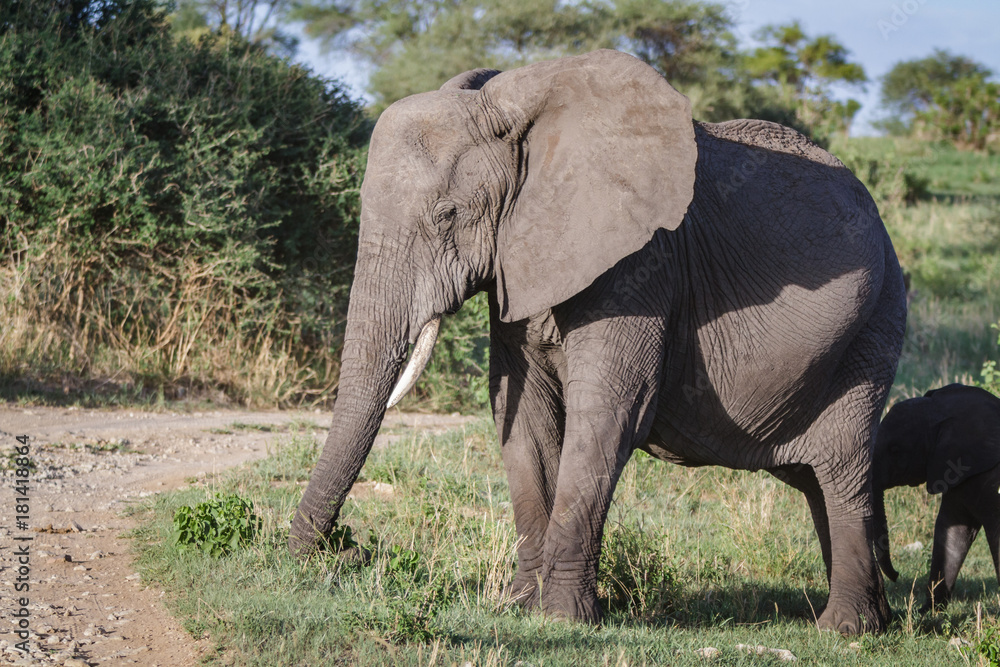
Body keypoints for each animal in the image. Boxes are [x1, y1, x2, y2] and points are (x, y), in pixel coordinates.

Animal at [288, 49, 907, 635]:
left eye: (448, 215)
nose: (328, 553)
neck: (520, 117)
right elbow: (522, 416)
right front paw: (519, 607)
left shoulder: (643, 266)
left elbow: (610, 412)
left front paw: (562, 618)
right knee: (813, 481)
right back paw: (872, 617)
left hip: (875, 326)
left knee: (841, 469)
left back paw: (845, 629)